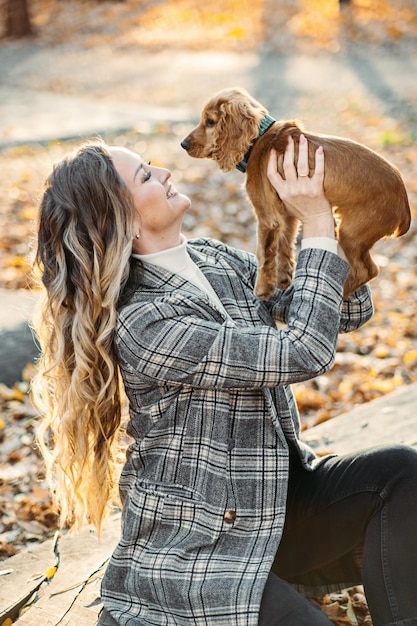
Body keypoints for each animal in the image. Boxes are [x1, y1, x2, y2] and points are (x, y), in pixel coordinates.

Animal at [180, 86, 410, 298]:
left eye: (210, 121)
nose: (183, 144)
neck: (259, 140)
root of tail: (404, 204)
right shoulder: (287, 214)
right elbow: (285, 244)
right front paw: (283, 279)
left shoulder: (267, 217)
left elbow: (263, 253)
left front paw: (262, 290)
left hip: (352, 233)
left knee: (367, 270)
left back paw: (341, 295)